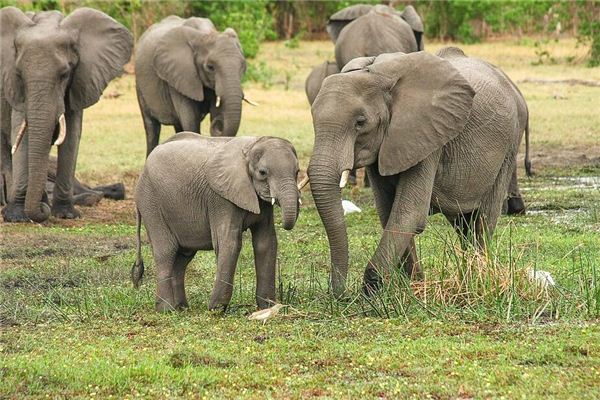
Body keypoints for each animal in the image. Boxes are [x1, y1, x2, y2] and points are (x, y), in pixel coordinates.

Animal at [0, 7, 134, 223]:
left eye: (64, 75)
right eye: (19, 75)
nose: (42, 211)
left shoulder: (80, 80)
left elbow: (71, 136)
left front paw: (65, 214)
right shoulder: (13, 88)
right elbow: (21, 135)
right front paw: (16, 217)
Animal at [131, 133, 300, 310]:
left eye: (297, 172)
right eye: (262, 172)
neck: (251, 146)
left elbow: (266, 242)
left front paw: (268, 307)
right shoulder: (221, 198)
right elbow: (229, 242)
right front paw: (216, 309)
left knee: (183, 257)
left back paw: (181, 308)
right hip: (151, 203)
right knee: (166, 251)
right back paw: (166, 310)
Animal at [136, 15, 253, 156]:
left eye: (243, 66)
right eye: (210, 67)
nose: (218, 124)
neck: (206, 34)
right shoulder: (179, 75)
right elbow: (190, 121)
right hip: (140, 86)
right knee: (151, 127)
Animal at [308, 48, 528, 296]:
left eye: (360, 122)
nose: (341, 295)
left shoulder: (428, 136)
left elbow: (409, 213)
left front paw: (372, 292)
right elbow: (388, 212)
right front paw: (412, 285)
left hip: (510, 144)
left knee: (484, 218)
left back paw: (478, 277)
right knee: (464, 223)